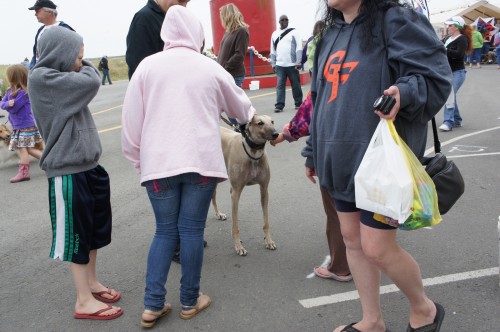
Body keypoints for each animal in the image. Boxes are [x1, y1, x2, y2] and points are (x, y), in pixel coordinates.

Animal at [211, 115, 280, 256]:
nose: (276, 134)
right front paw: (238, 246)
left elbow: (266, 222)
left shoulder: (264, 189)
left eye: (272, 121)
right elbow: (235, 226)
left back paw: (219, 214)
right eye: (260, 123)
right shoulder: (235, 193)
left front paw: (269, 241)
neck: (253, 153)